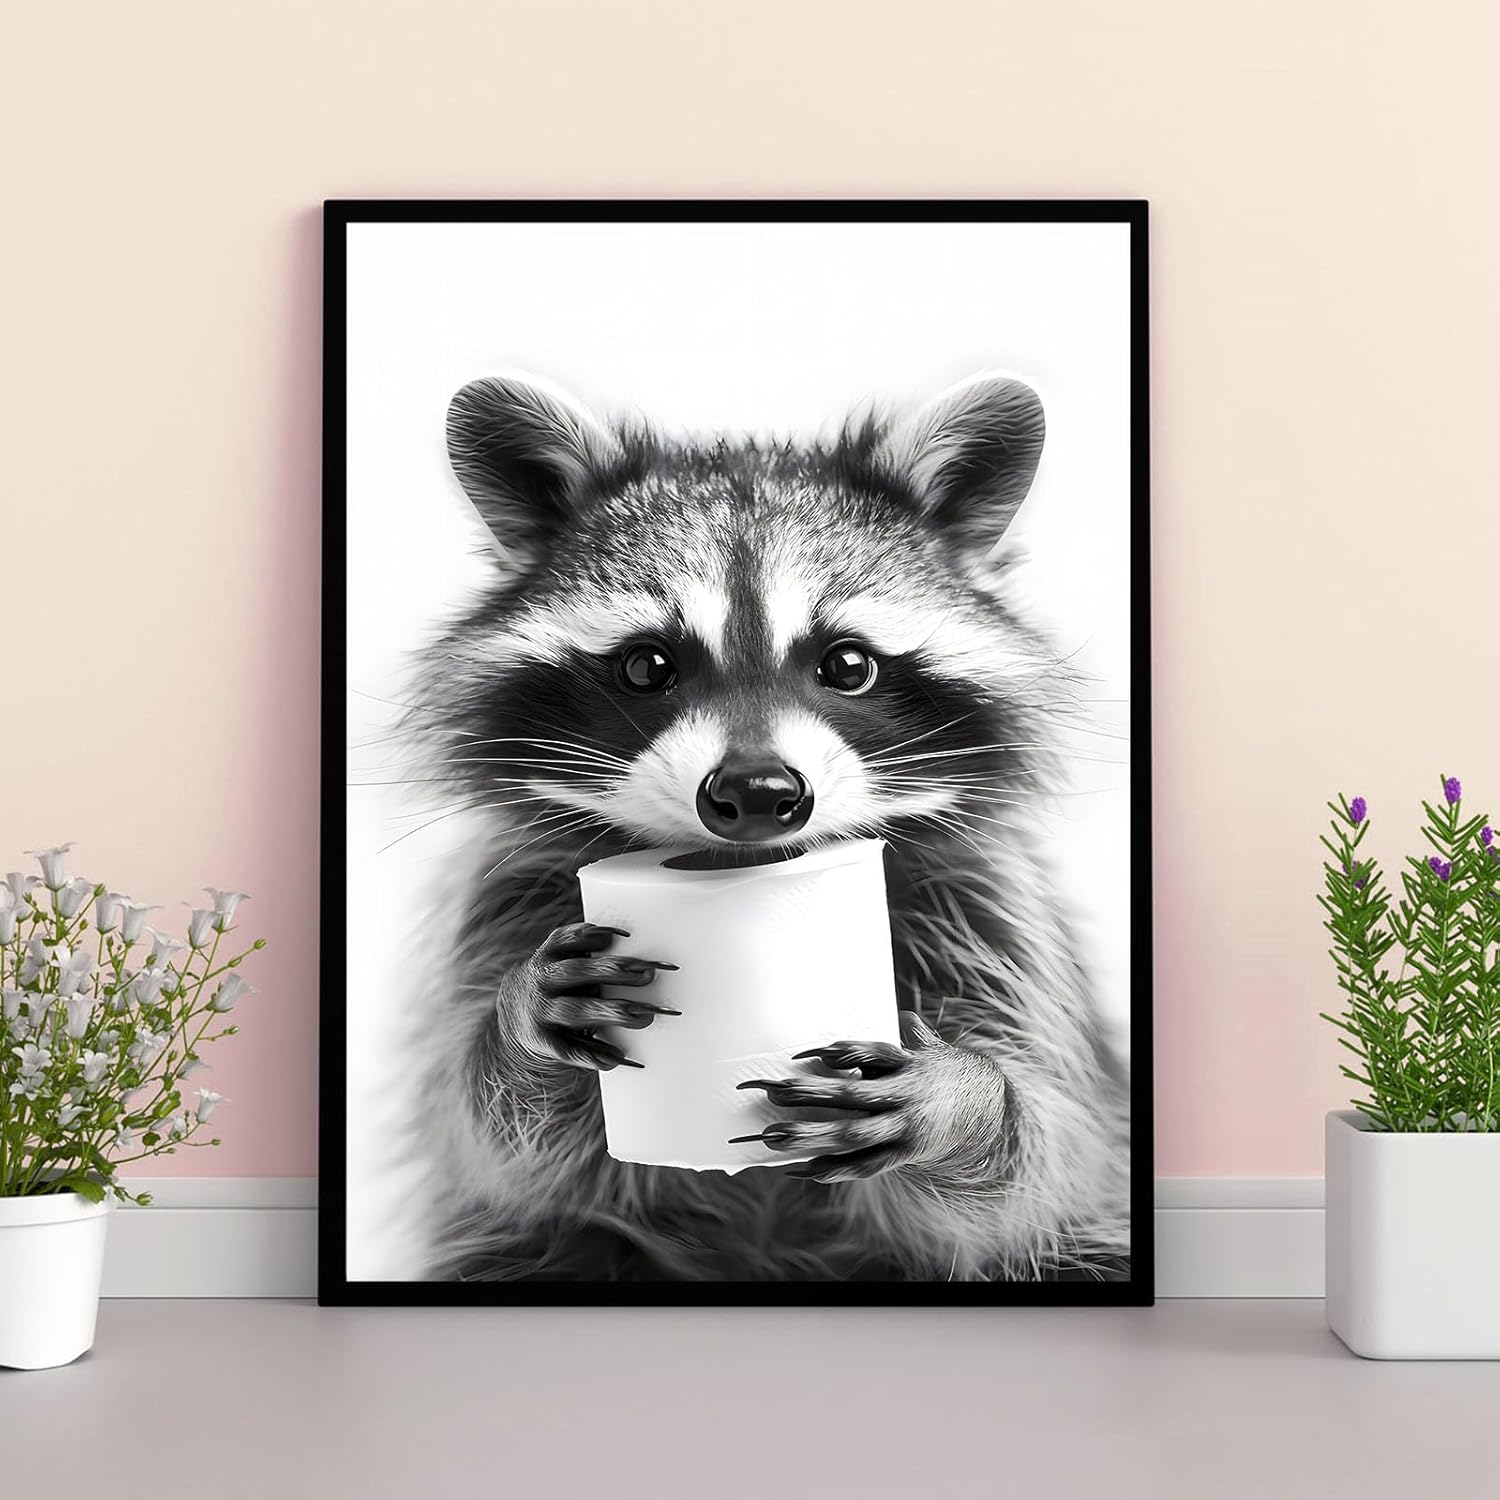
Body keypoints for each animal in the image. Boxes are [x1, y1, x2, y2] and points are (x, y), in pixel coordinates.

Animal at [399, 371, 1130, 1282]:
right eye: (647, 666)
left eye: (847, 665)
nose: (754, 792)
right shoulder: (507, 897)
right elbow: (498, 1147)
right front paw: (520, 1026)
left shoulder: (993, 915)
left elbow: (1034, 1174)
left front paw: (964, 1102)